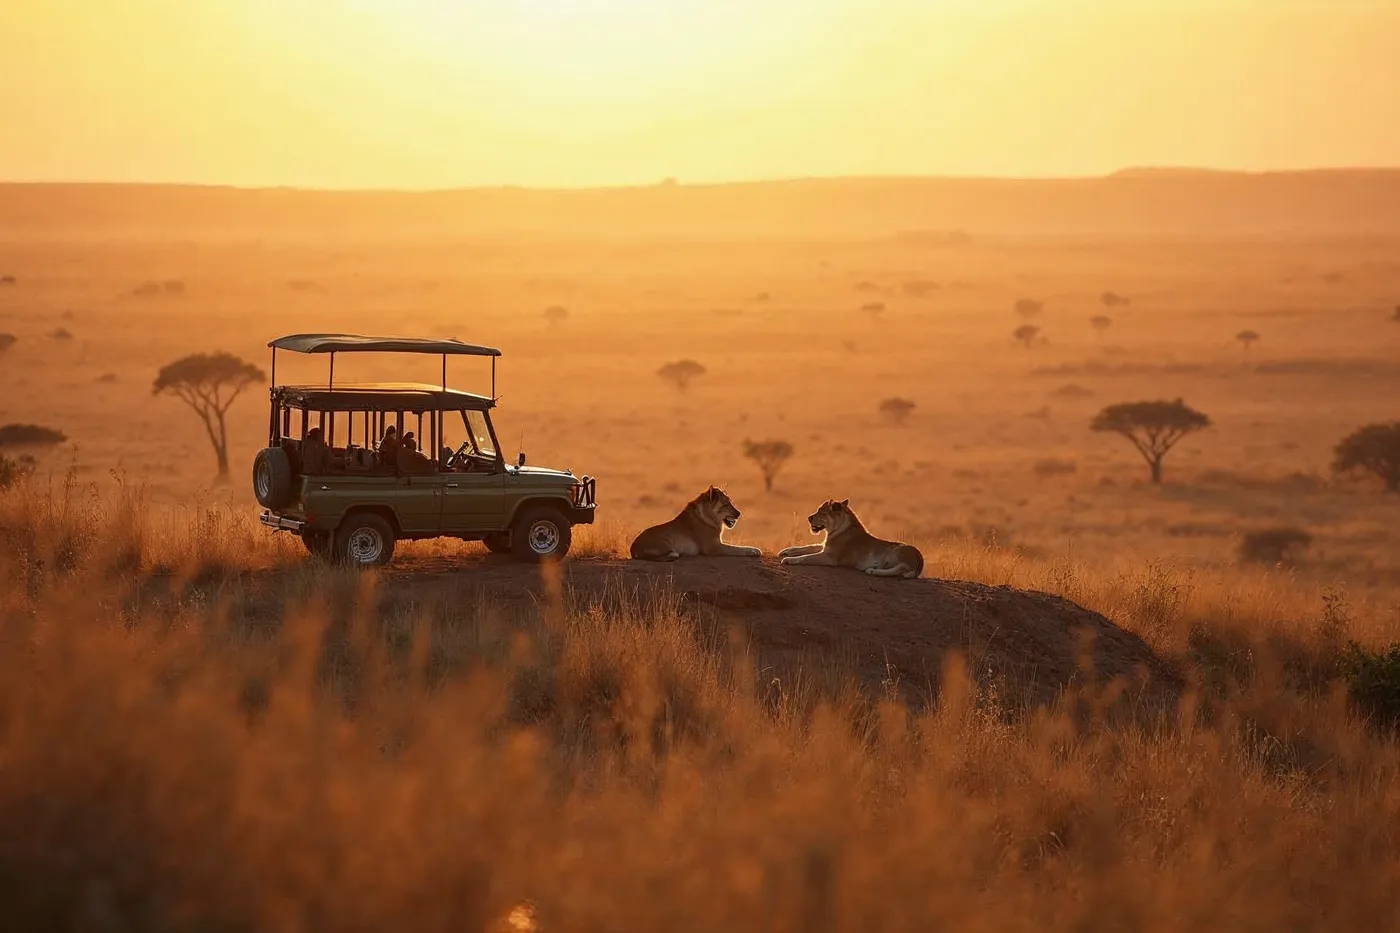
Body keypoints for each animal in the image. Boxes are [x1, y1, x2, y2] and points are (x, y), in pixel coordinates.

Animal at [629, 486, 763, 561]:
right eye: (726, 504)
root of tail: (633, 548)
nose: (739, 513)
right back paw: (674, 554)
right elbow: (738, 549)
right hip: (665, 541)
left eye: (731, 502)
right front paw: (755, 550)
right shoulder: (713, 547)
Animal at [778, 498, 923, 578]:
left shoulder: (829, 557)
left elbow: (806, 557)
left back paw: (872, 570)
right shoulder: (825, 546)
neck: (834, 530)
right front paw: (787, 551)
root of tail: (920, 561)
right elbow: (808, 547)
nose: (809, 518)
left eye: (822, 512)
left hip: (896, 552)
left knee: (901, 569)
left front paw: (789, 559)